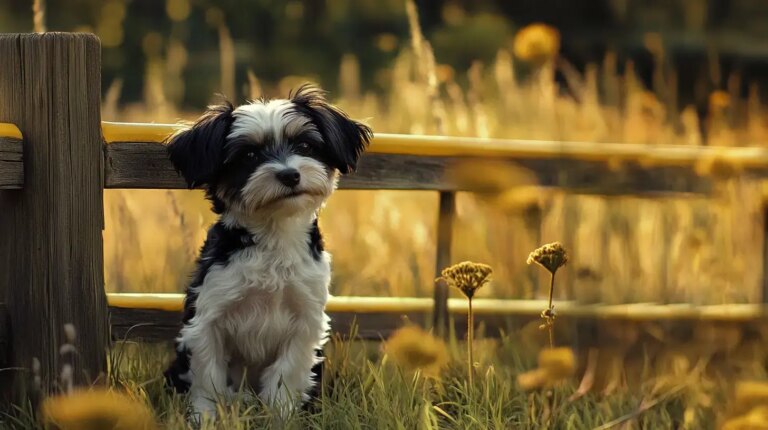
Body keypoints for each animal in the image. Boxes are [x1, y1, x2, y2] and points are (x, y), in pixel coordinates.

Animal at [164, 83, 374, 416]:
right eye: (249, 155)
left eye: (305, 146)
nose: (289, 174)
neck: (274, 234)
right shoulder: (208, 318)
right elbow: (208, 378)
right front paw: (206, 416)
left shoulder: (305, 320)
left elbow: (286, 374)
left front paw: (282, 414)